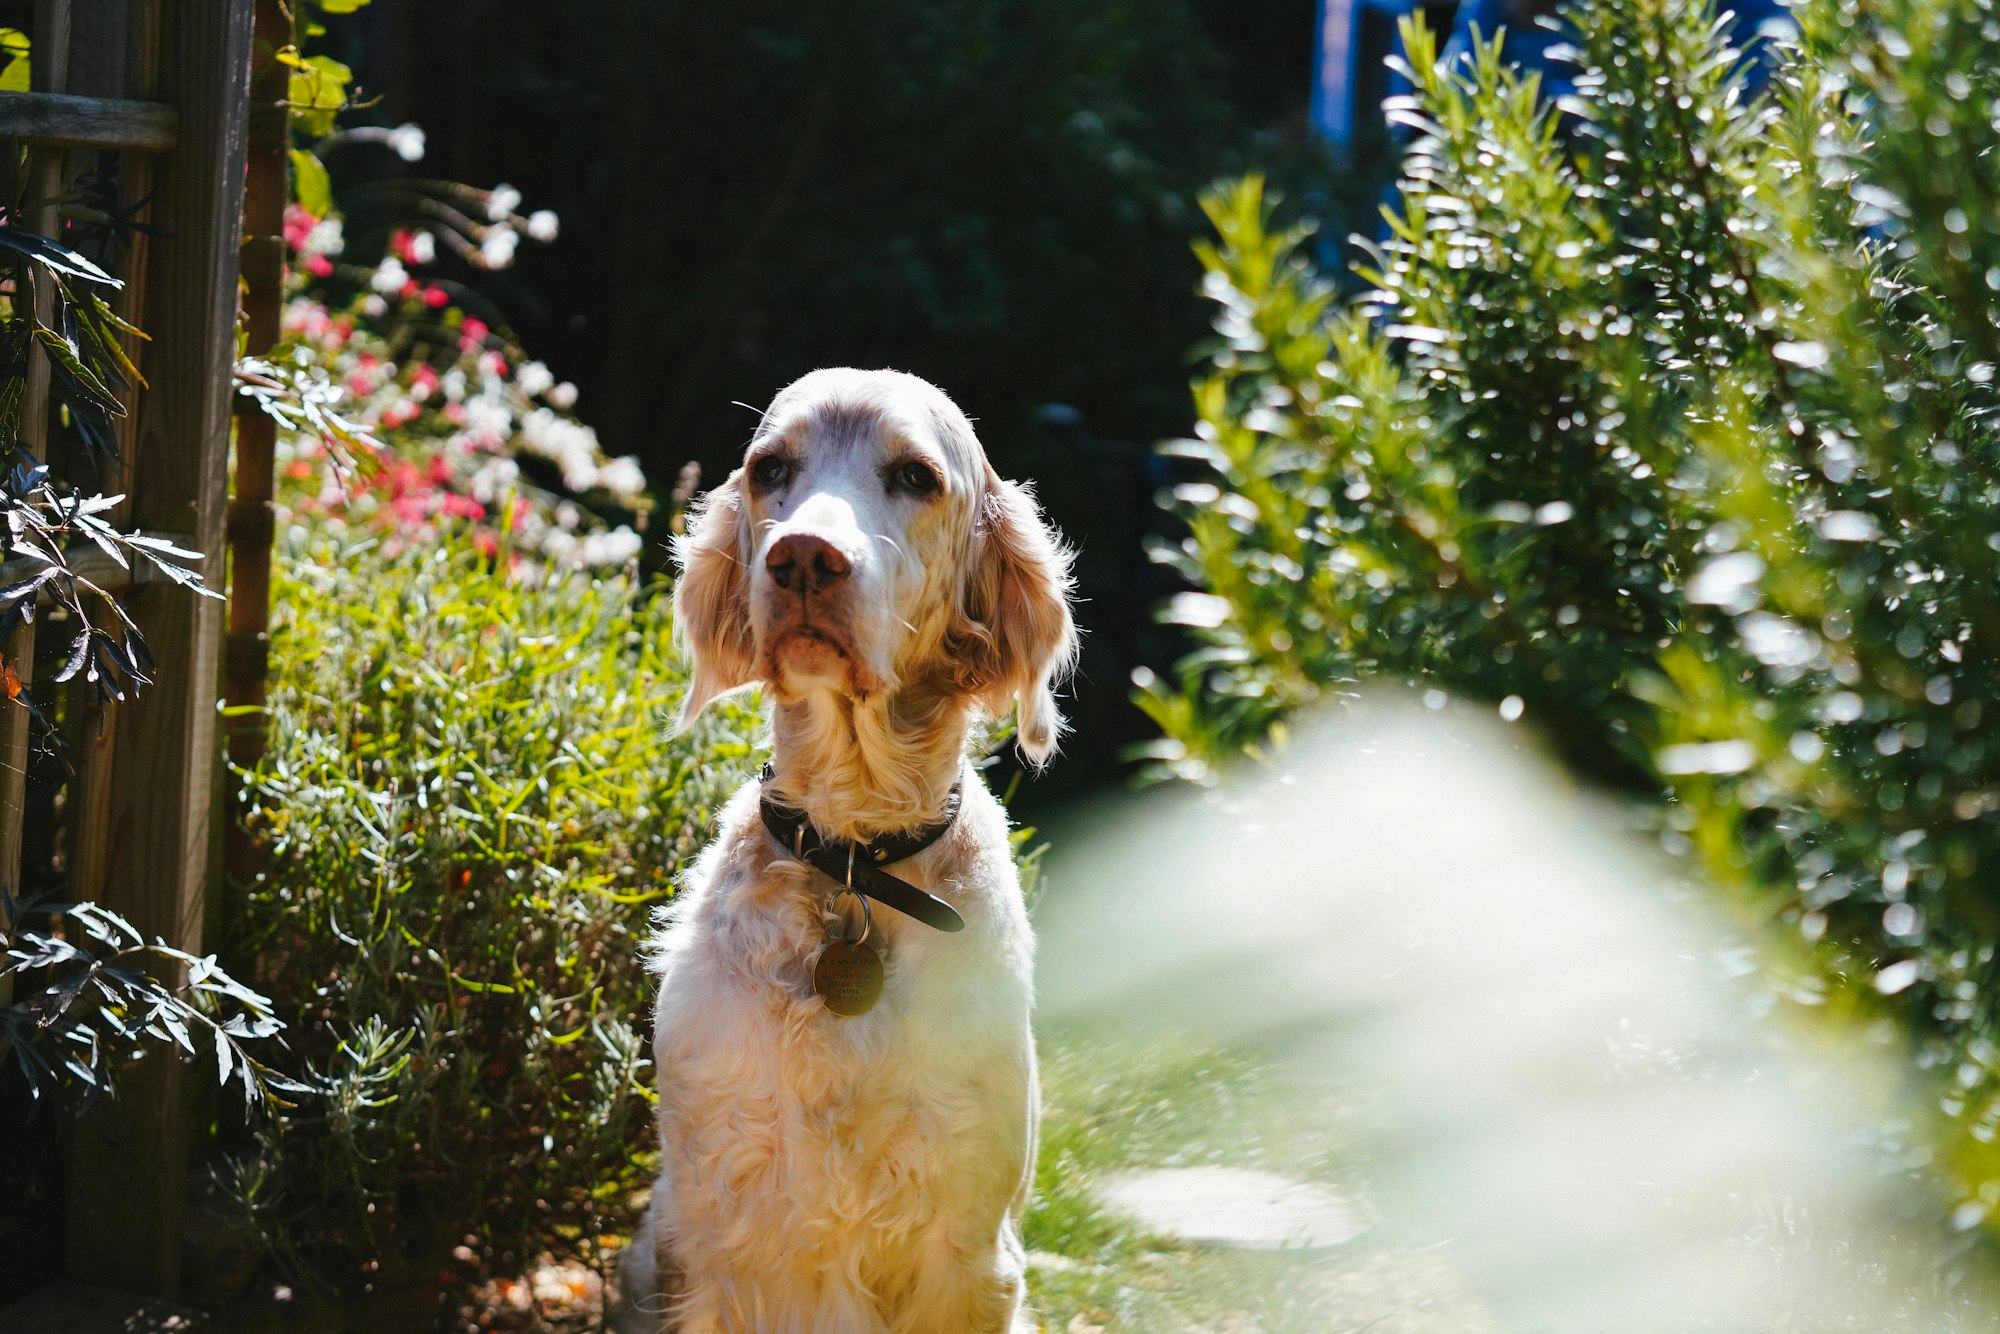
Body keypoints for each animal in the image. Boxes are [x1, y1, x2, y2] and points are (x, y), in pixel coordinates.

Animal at [616, 368, 1080, 1334]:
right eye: (770, 468)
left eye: (913, 476)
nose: (802, 559)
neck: (856, 862)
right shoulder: (711, 1239)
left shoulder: (970, 1247)